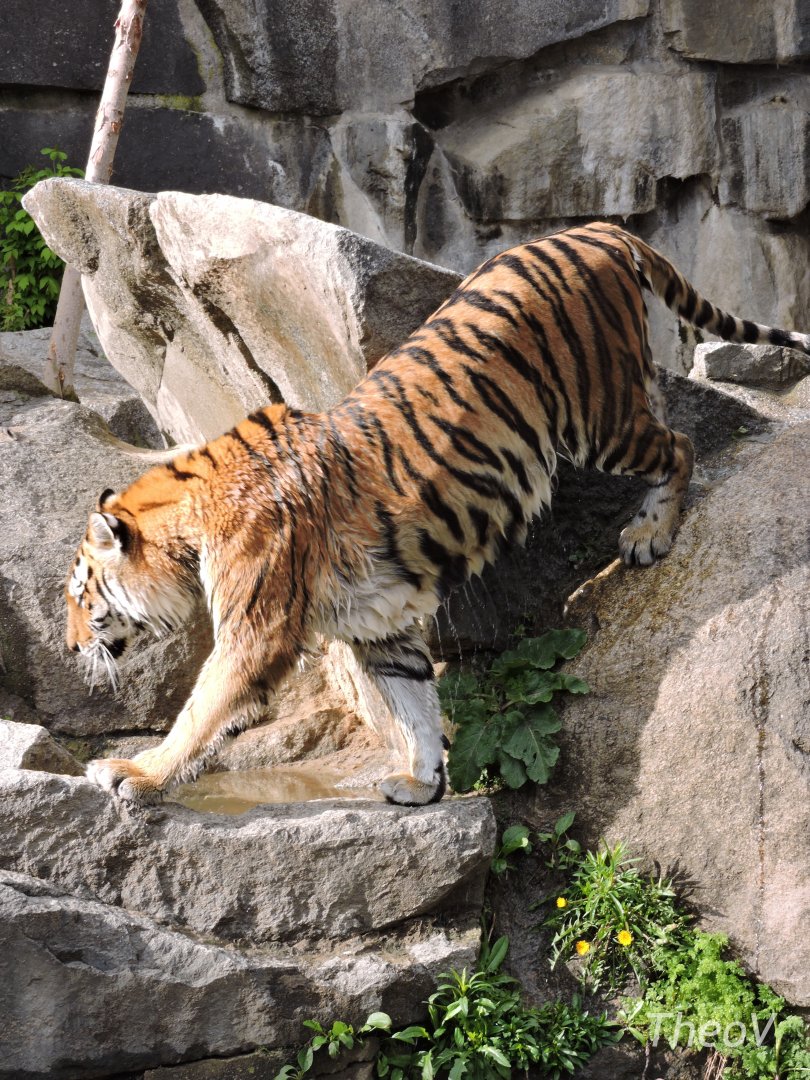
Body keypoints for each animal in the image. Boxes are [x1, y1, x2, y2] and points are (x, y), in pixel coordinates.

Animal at [66, 221, 810, 807]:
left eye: (81, 594)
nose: (71, 650)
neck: (188, 524)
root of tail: (595, 229)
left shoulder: (256, 630)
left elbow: (201, 711)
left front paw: (135, 772)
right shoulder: (379, 626)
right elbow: (416, 707)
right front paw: (423, 782)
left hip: (597, 418)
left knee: (679, 444)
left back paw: (649, 535)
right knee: (667, 414)